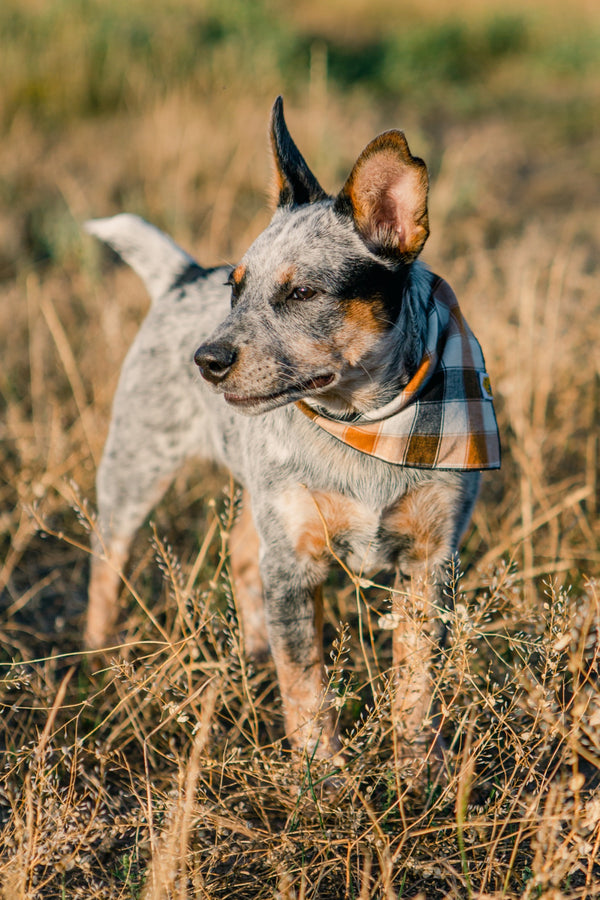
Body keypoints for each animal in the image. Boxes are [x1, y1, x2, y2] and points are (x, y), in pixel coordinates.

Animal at [83, 98, 496, 768]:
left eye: (302, 292)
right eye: (235, 288)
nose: (206, 359)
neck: (365, 425)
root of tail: (181, 275)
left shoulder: (430, 562)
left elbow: (414, 681)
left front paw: (417, 766)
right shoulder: (295, 563)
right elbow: (305, 685)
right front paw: (320, 775)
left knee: (239, 551)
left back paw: (252, 650)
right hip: (136, 466)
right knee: (108, 556)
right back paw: (97, 658)